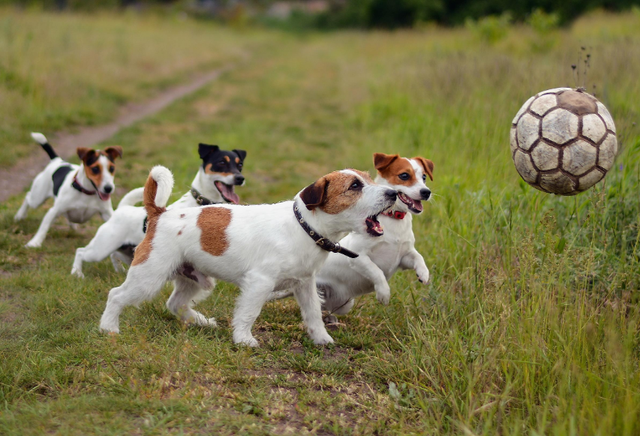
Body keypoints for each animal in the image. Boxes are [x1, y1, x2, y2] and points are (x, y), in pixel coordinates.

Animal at [71, 145, 246, 278]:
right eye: (221, 162)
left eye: (240, 165)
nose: (240, 178)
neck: (201, 202)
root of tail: (122, 208)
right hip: (101, 248)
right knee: (81, 252)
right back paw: (77, 273)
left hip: (128, 251)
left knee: (115, 255)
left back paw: (119, 270)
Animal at [97, 165, 398, 346]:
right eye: (355, 186)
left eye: (369, 178)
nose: (394, 193)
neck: (303, 227)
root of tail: (160, 213)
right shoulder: (259, 283)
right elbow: (248, 313)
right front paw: (243, 340)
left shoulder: (305, 284)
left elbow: (313, 313)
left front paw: (321, 338)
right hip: (149, 276)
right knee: (116, 295)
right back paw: (108, 328)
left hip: (196, 280)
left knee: (175, 303)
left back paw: (202, 322)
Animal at [270, 152, 436, 316]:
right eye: (404, 175)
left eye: (424, 177)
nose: (426, 192)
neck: (394, 222)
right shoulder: (358, 257)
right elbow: (377, 272)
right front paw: (384, 293)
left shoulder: (403, 257)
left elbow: (418, 257)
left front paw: (424, 274)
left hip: (343, 305)